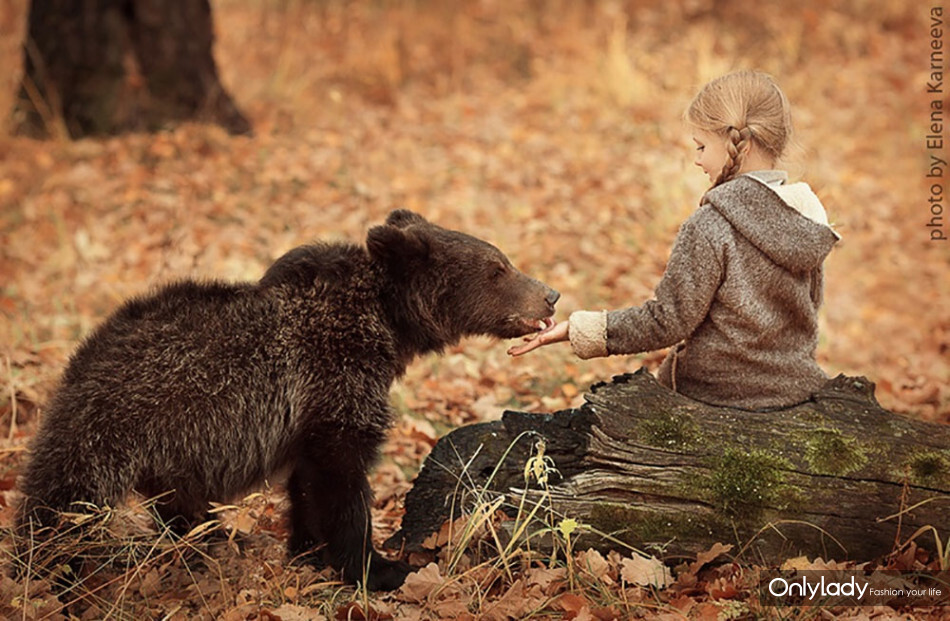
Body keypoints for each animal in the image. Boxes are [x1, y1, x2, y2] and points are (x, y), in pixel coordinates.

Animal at [16, 207, 556, 588]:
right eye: (498, 268)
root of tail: (80, 358)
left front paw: (307, 549)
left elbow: (306, 483)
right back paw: (45, 568)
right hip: (115, 424)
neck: (386, 325)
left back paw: (213, 540)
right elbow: (341, 481)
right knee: (60, 503)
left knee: (175, 503)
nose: (549, 293)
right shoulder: (334, 382)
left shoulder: (309, 413)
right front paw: (376, 566)